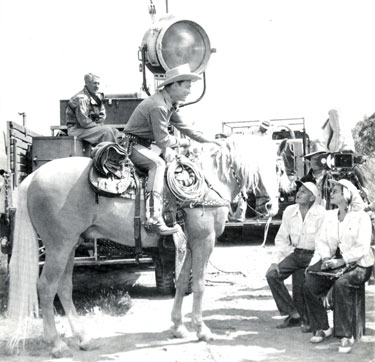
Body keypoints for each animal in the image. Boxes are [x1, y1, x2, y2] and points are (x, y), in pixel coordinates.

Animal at [7, 133, 284, 356]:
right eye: (277, 168)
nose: (272, 206)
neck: (209, 182)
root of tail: (33, 178)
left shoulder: (189, 243)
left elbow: (182, 281)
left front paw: (178, 327)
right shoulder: (204, 240)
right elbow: (199, 283)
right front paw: (201, 329)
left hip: (71, 246)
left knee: (63, 287)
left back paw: (84, 338)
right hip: (58, 246)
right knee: (46, 287)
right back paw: (56, 344)